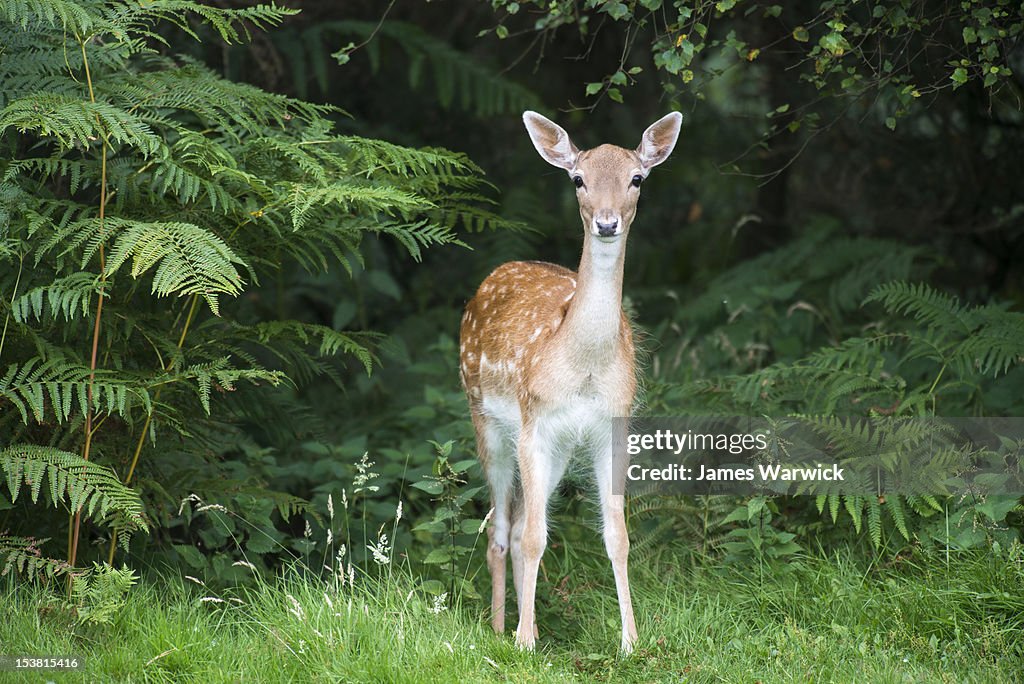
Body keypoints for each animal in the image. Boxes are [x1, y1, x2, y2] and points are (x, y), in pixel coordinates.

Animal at [458, 111, 679, 651]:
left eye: (637, 178)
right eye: (578, 179)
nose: (606, 221)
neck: (583, 367)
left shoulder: (610, 429)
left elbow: (617, 537)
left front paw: (630, 642)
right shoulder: (534, 422)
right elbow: (536, 536)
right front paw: (521, 643)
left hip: (557, 448)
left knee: (519, 525)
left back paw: (529, 623)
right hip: (485, 418)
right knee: (500, 528)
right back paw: (502, 628)